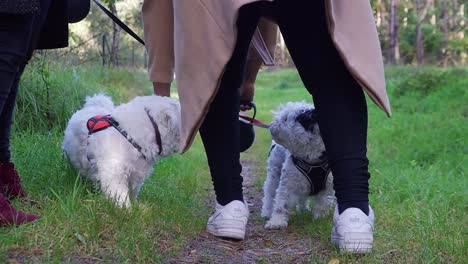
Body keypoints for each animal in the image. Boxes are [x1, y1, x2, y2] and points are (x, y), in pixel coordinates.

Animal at [262, 101, 334, 229]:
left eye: (285, 118)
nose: (271, 125)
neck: (311, 159)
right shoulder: (287, 184)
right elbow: (281, 204)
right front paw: (277, 222)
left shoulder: (327, 187)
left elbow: (322, 203)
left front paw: (319, 218)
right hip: (274, 174)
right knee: (269, 193)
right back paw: (266, 212)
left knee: (302, 197)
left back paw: (303, 209)